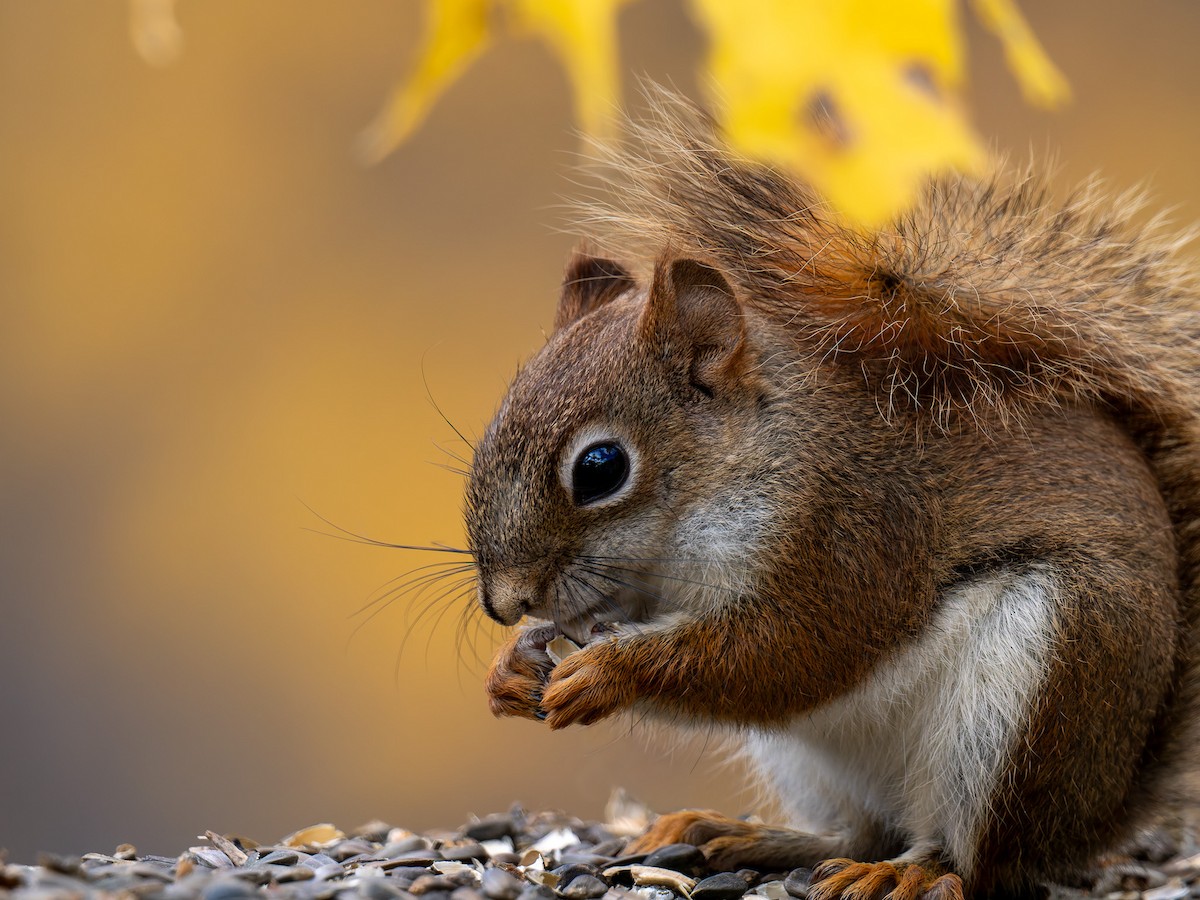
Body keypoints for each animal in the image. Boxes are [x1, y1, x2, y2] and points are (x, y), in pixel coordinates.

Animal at [462, 93, 1200, 900]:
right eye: (489, 434)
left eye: (600, 468)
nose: (505, 602)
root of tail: (1099, 811)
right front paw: (511, 671)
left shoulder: (854, 530)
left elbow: (784, 653)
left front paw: (607, 672)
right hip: (814, 765)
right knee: (858, 829)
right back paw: (741, 835)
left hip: (1035, 688)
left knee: (968, 857)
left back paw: (907, 873)